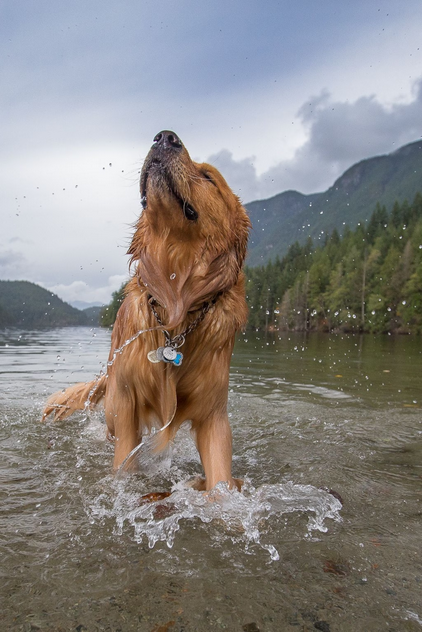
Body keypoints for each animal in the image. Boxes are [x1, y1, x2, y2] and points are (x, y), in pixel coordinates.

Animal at [43, 131, 251, 492]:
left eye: (208, 177)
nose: (165, 137)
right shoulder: (126, 401)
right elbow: (125, 463)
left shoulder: (213, 413)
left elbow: (220, 477)